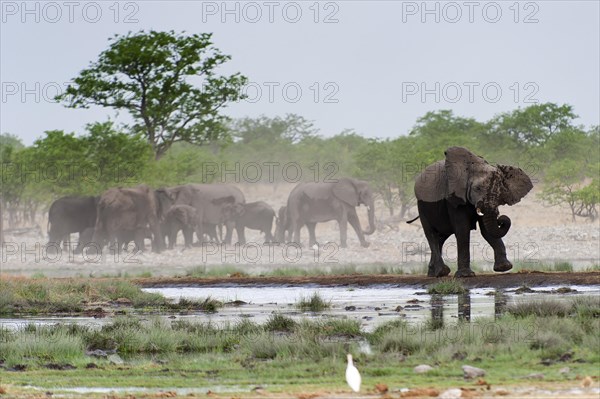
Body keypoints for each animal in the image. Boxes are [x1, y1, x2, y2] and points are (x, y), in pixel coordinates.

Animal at [412, 146, 536, 278]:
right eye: (477, 189)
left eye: (500, 191)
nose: (500, 219)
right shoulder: (454, 197)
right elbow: (463, 229)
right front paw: (465, 275)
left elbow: (486, 230)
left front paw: (504, 267)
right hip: (421, 207)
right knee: (431, 234)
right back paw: (441, 272)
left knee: (441, 237)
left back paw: (433, 273)